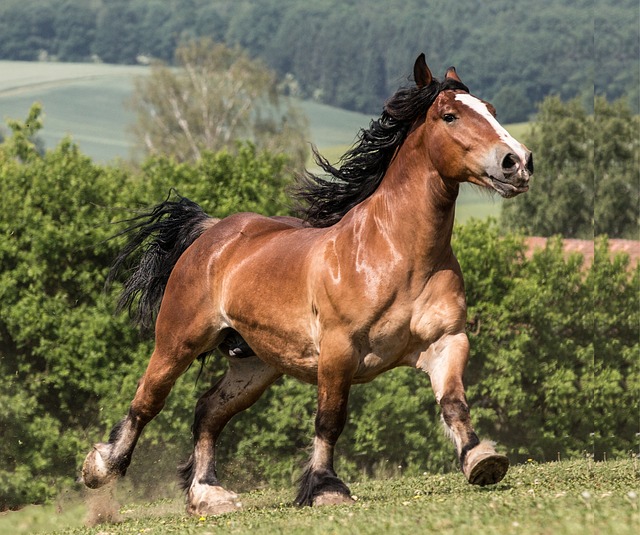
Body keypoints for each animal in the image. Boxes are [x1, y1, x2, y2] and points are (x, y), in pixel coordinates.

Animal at [84, 54, 536, 516]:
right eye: (450, 116)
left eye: (491, 110)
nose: (517, 162)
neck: (397, 255)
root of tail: (211, 233)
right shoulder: (338, 351)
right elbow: (330, 419)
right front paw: (325, 488)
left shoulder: (447, 340)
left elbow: (453, 402)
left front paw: (481, 459)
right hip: (178, 342)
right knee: (147, 402)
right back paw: (101, 468)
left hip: (256, 364)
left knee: (208, 410)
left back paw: (208, 494)